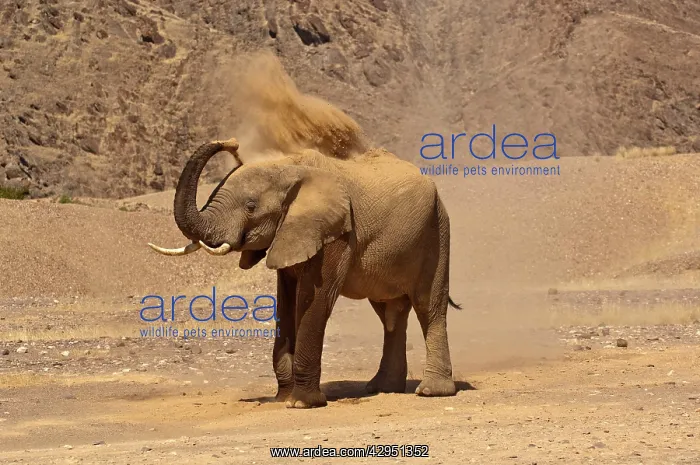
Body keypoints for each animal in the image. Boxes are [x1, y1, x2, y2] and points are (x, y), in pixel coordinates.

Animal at [149, 137, 461, 408]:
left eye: (250, 206)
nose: (233, 144)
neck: (288, 167)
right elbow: (286, 301)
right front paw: (283, 399)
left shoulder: (336, 231)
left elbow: (315, 300)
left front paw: (302, 403)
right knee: (390, 314)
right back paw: (381, 388)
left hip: (437, 231)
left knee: (429, 307)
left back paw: (432, 391)